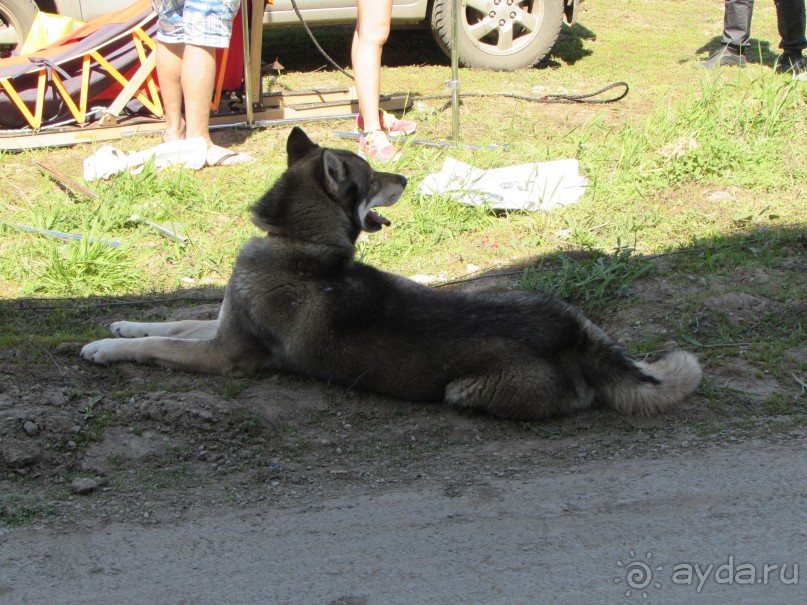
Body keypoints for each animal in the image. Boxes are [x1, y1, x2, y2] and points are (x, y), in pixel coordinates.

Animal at [79, 127, 704, 420]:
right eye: (373, 176)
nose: (404, 176)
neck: (296, 245)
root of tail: (576, 335)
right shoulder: (222, 325)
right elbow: (172, 322)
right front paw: (120, 327)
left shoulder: (226, 355)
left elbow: (163, 343)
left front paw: (106, 350)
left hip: (463, 389)